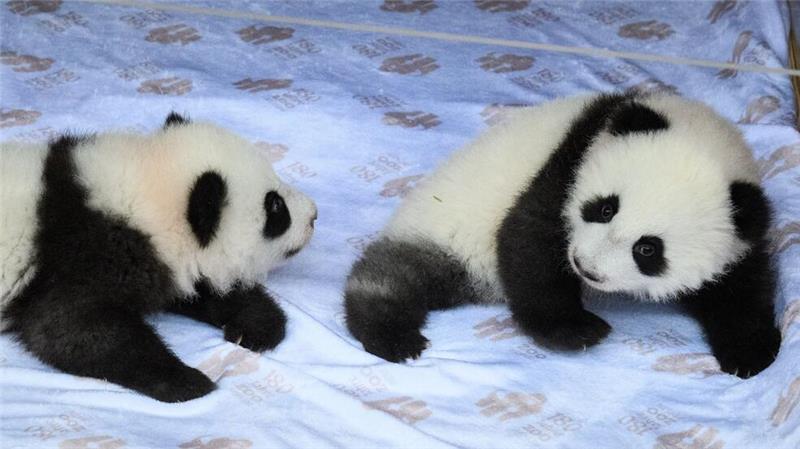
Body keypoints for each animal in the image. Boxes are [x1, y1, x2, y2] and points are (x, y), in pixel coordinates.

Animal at [0, 113, 317, 402]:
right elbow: (68, 329)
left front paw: (257, 326)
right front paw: (186, 381)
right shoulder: (82, 255)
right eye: (275, 206)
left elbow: (201, 289)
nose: (314, 215)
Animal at [344, 93, 781, 378]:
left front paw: (749, 352)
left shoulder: (742, 229)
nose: (585, 267)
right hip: (442, 228)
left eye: (648, 249)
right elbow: (528, 239)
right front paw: (576, 329)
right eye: (605, 208)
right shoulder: (570, 159)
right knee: (393, 278)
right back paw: (393, 335)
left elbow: (740, 287)